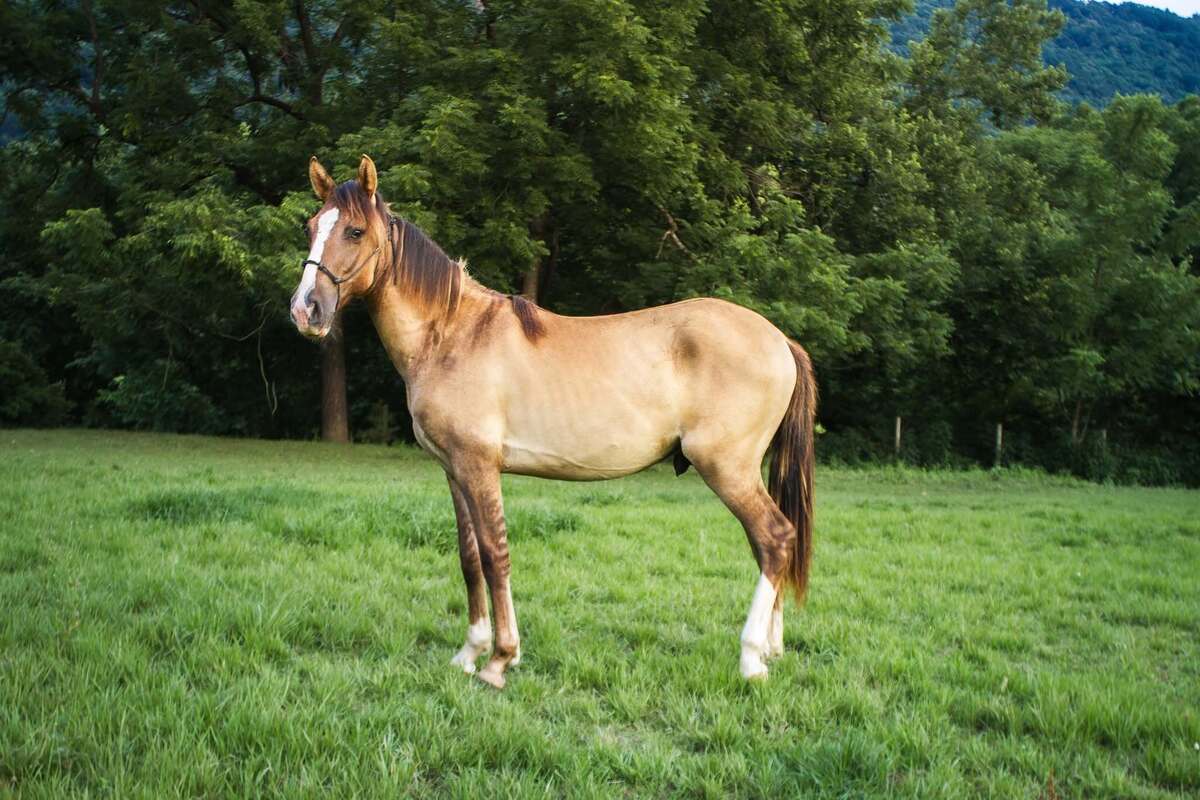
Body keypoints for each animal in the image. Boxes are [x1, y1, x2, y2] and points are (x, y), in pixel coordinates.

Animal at [289, 155, 817, 689]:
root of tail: (779, 339)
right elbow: (469, 557)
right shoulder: (454, 470)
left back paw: (750, 659)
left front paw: (499, 660)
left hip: (727, 468)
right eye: (311, 227)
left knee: (775, 538)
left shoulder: (479, 467)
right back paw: (771, 648)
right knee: (768, 545)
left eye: (355, 231)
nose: (305, 310)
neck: (452, 334)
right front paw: (469, 652)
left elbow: (495, 554)